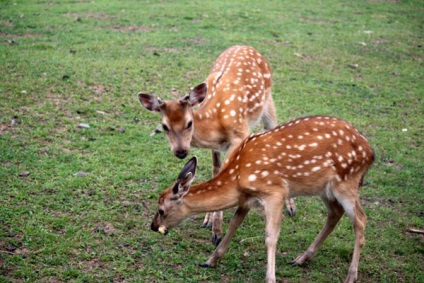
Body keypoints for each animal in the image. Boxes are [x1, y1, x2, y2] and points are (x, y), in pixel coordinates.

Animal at [138, 45, 294, 246]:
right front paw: (209, 221)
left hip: (268, 104)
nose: (181, 151)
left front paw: (217, 233)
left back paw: (291, 206)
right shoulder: (216, 147)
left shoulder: (240, 134)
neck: (216, 123)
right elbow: (215, 170)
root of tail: (246, 46)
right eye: (165, 126)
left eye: (189, 123)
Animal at [150, 116, 374, 283]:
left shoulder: (275, 192)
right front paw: (211, 260)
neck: (237, 178)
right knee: (335, 213)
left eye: (161, 210)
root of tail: (371, 153)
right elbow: (233, 225)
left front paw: (270, 278)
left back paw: (351, 276)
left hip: (347, 182)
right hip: (323, 188)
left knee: (360, 220)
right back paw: (301, 259)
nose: (153, 226)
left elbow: (271, 236)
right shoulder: (247, 199)